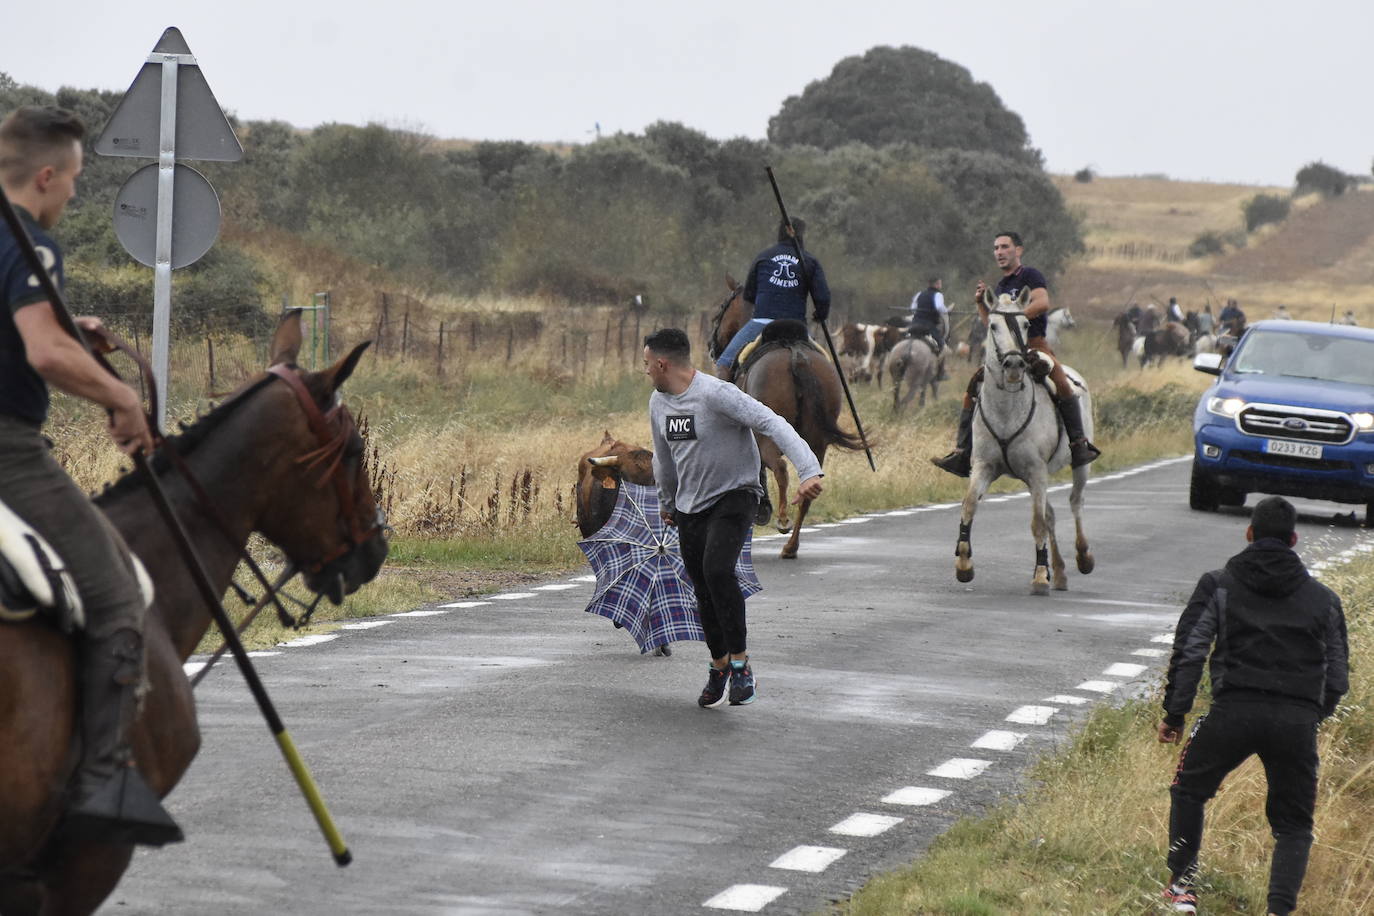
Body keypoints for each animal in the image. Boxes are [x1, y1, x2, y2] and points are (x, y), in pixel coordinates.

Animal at [736, 318, 862, 560]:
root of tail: (795, 354)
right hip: (817, 443)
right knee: (808, 492)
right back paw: (790, 547)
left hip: (769, 437)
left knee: (780, 468)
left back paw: (783, 520)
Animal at [956, 289, 1093, 598]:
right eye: (993, 326)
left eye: (1026, 324)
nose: (1015, 365)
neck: (1007, 409)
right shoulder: (984, 466)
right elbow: (969, 506)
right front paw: (964, 564)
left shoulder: (1036, 470)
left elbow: (1037, 523)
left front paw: (1040, 576)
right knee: (1051, 513)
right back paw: (1060, 573)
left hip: (1076, 467)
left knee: (1075, 503)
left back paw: (1082, 558)